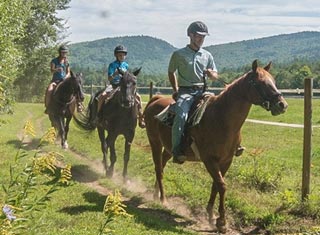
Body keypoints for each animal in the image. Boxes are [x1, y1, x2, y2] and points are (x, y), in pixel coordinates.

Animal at [144, 60, 288, 233]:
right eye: (261, 83)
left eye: (273, 81)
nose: (282, 104)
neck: (221, 118)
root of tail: (155, 99)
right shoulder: (209, 160)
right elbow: (222, 186)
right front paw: (222, 222)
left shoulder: (226, 160)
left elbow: (216, 185)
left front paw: (211, 216)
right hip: (155, 142)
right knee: (158, 169)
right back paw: (163, 199)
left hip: (169, 148)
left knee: (162, 166)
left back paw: (155, 194)